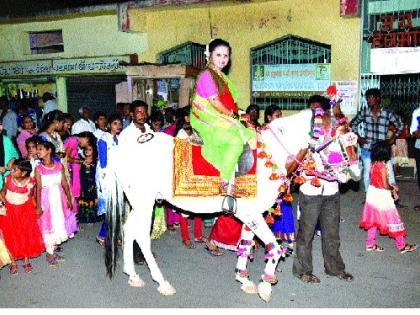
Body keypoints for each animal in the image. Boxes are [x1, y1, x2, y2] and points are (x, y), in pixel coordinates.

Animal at [103, 109, 360, 304]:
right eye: (345, 142)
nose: (355, 174)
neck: (268, 157)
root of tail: (124, 147)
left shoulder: (250, 214)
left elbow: (246, 244)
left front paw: (244, 279)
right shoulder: (252, 214)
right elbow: (275, 248)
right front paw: (266, 285)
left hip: (136, 203)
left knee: (128, 230)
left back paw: (133, 275)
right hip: (145, 202)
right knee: (141, 236)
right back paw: (162, 281)